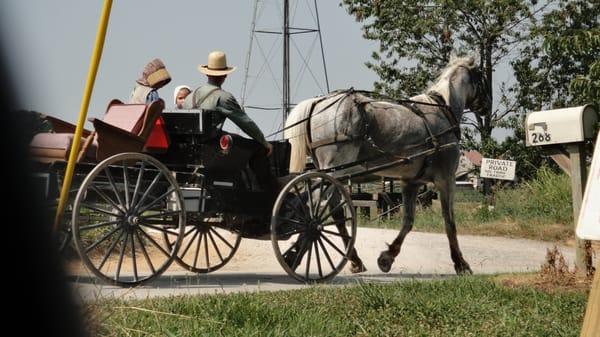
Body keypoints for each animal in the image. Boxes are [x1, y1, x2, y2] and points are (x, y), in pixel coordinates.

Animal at [284, 56, 490, 274]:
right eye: (482, 75)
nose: (488, 105)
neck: (443, 111)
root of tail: (318, 102)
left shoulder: (411, 182)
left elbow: (408, 221)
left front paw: (387, 257)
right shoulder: (446, 179)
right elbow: (449, 221)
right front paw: (461, 263)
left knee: (335, 212)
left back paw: (354, 259)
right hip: (333, 171)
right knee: (318, 207)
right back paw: (300, 250)